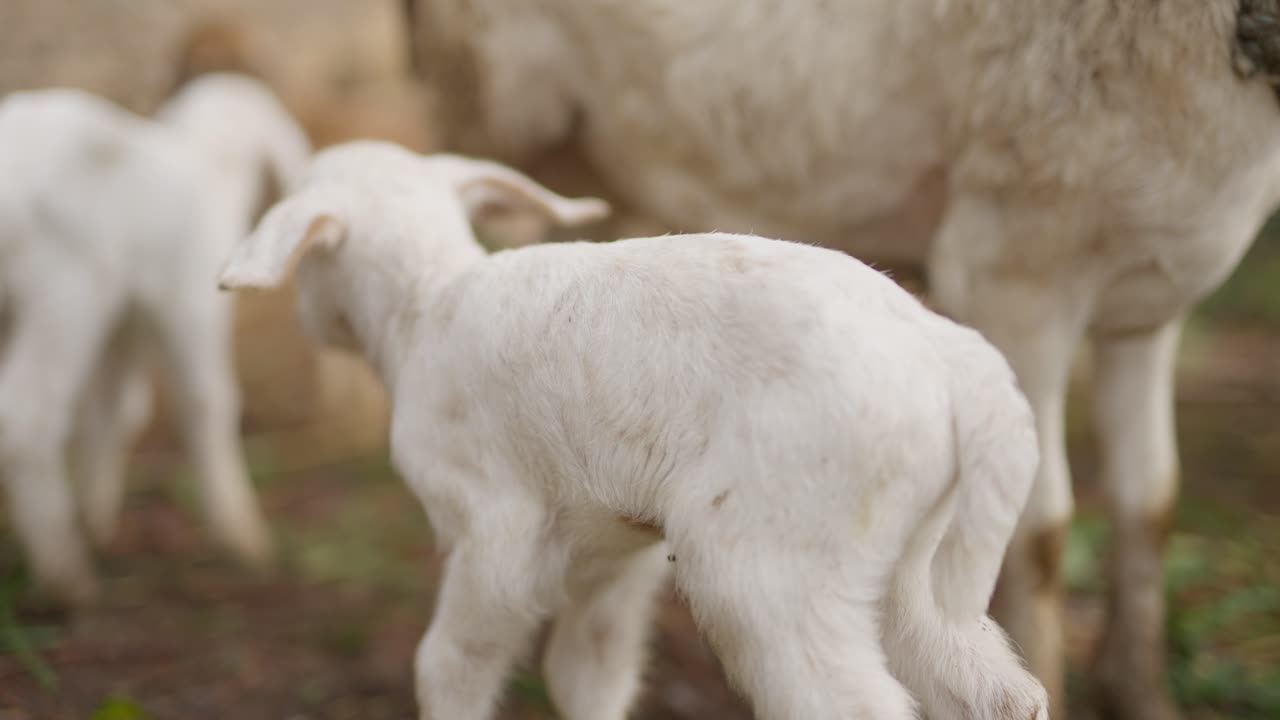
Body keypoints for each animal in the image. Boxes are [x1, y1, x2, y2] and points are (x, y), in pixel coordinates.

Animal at [0, 72, 311, 606]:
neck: (209, 157)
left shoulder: (124, 327)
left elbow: (117, 410)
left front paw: (95, 512)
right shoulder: (191, 301)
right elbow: (205, 402)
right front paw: (241, 534)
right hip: (67, 290)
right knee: (26, 415)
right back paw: (65, 576)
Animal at [219, 139, 1048, 720]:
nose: (306, 322)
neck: (426, 300)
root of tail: (953, 366)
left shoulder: (494, 529)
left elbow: (448, 665)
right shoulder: (612, 550)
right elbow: (589, 674)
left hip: (774, 556)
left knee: (852, 701)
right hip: (917, 558)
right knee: (1000, 692)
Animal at [400, 2, 1280, 716]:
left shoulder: (1148, 298)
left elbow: (1150, 504)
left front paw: (1143, 696)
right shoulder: (1016, 269)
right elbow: (1043, 531)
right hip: (487, 86)